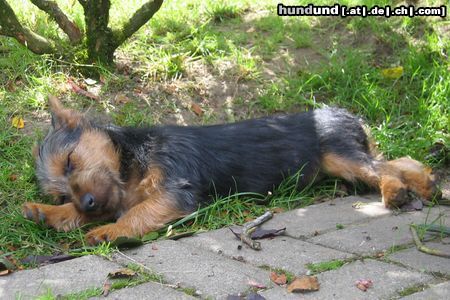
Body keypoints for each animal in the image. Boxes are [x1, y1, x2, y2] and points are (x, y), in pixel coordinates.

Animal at [22, 97, 440, 245]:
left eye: (71, 161)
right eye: (61, 191)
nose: (87, 202)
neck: (131, 165)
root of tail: (349, 115)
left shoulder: (176, 190)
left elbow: (137, 213)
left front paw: (109, 232)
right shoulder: (115, 195)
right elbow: (98, 211)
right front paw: (48, 213)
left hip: (338, 155)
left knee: (381, 167)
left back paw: (397, 190)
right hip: (342, 159)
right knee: (397, 160)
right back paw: (425, 182)